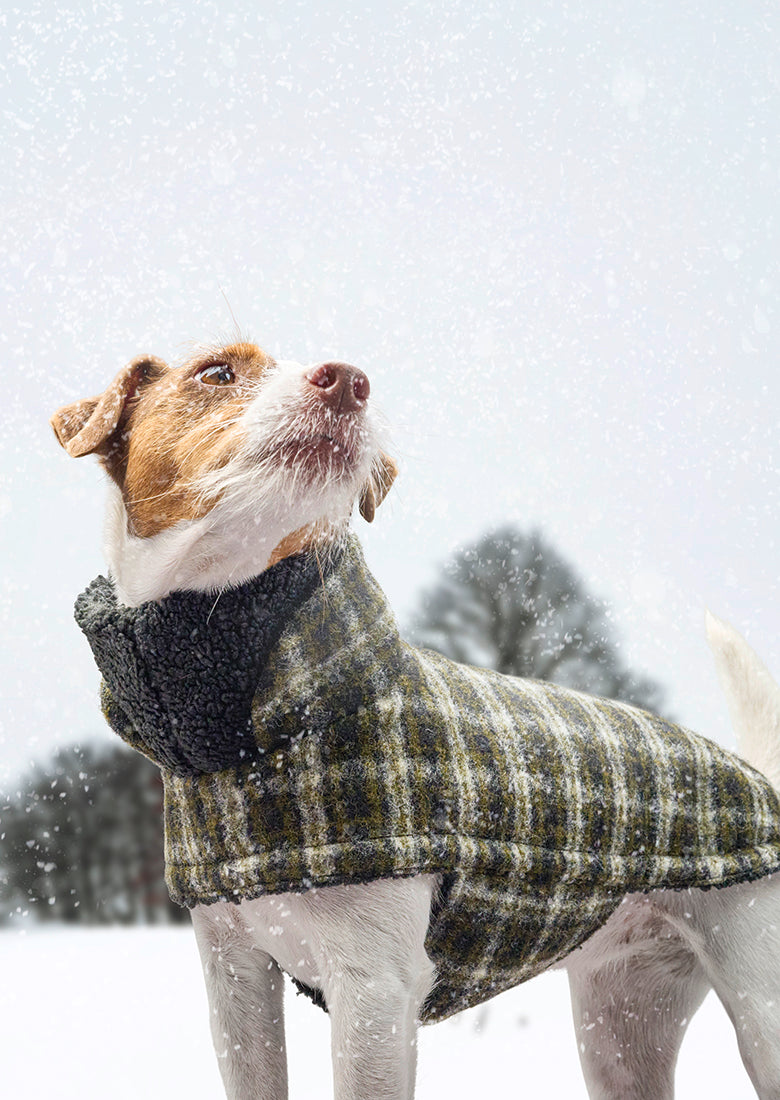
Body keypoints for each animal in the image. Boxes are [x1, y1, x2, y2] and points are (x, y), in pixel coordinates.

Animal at [51, 338, 778, 1095]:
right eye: (217, 372)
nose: (349, 380)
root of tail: (758, 780)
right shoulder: (234, 976)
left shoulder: (373, 985)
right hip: (620, 1023)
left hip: (760, 1005)